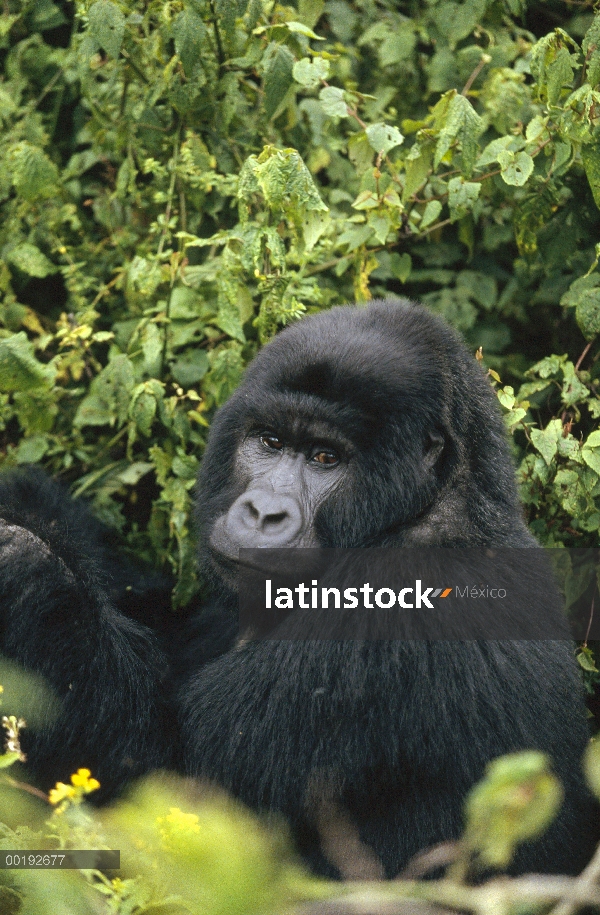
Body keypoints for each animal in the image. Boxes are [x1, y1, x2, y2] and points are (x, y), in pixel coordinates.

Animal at [0, 300, 596, 880]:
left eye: (325, 458)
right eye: (270, 442)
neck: (433, 497)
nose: (263, 513)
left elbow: (172, 789)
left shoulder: (397, 603)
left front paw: (28, 571)